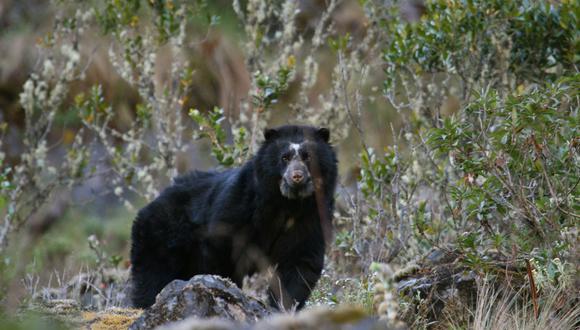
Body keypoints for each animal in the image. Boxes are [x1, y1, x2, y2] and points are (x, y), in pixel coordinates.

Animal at [129, 125, 338, 310]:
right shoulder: (240, 207)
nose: (297, 176)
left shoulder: (312, 217)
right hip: (162, 237)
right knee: (153, 274)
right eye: (284, 158)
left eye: (308, 157)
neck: (288, 204)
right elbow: (222, 248)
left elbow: (300, 261)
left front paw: (283, 306)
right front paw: (223, 287)